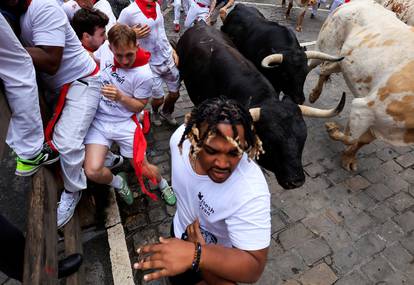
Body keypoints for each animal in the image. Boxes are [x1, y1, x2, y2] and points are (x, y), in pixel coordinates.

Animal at [306, 1, 414, 170]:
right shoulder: (365, 108)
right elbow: (352, 138)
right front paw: (332, 129)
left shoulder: (383, 123)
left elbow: (362, 140)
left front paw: (348, 158)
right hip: (324, 46)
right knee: (309, 64)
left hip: (340, 61)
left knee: (325, 70)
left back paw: (314, 94)